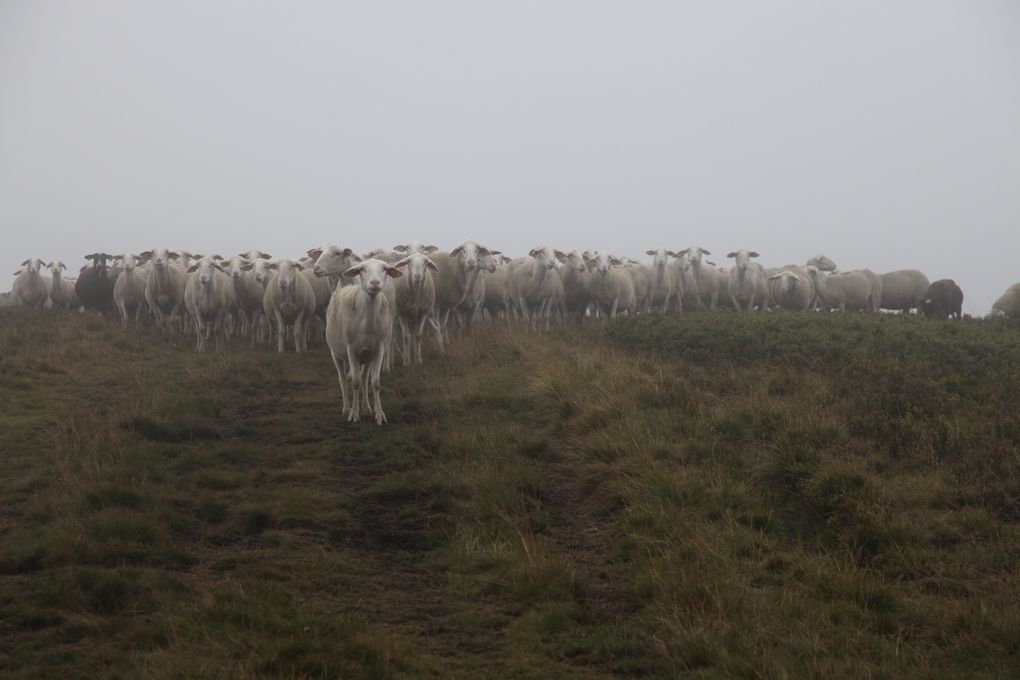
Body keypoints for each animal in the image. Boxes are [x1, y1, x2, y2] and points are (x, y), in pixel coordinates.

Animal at [328, 257, 403, 422]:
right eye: (362, 269)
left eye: (385, 268)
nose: (375, 282)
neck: (367, 323)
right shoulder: (350, 349)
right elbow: (354, 382)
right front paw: (354, 414)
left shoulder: (378, 349)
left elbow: (375, 382)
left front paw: (379, 414)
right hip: (335, 353)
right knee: (343, 379)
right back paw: (346, 408)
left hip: (367, 355)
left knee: (364, 378)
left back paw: (367, 408)